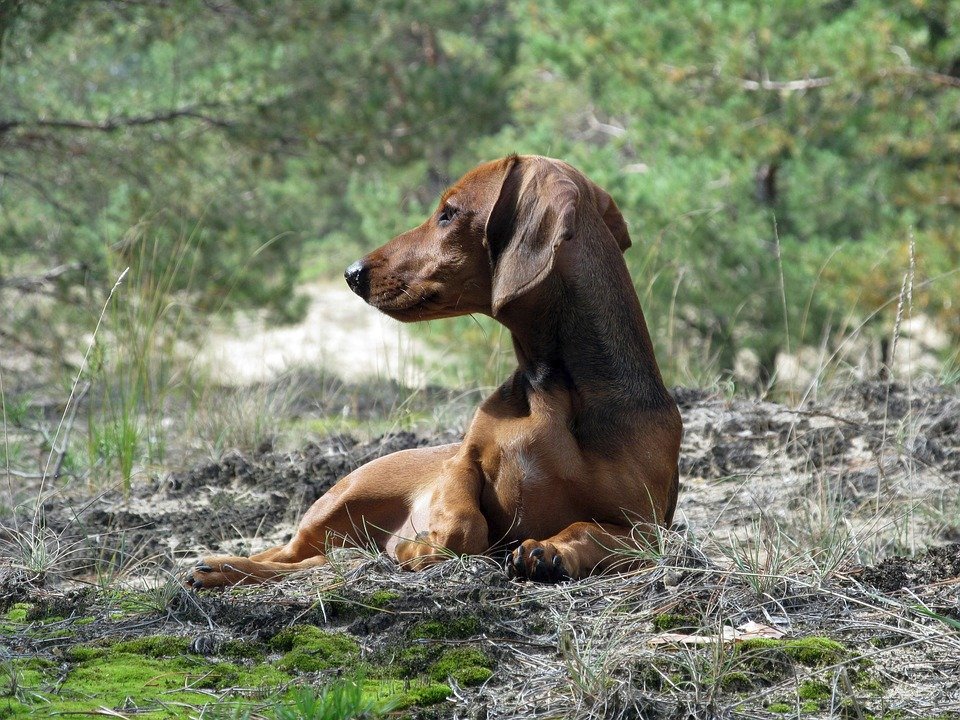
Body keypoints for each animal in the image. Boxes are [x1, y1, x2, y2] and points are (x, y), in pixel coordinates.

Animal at [188, 155, 680, 588]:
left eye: (448, 214)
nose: (352, 273)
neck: (552, 391)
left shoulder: (648, 527)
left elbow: (592, 530)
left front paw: (550, 550)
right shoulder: (461, 463)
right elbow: (465, 524)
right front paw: (422, 545)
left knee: (312, 563)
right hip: (340, 500)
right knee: (286, 555)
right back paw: (220, 567)